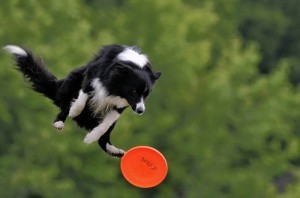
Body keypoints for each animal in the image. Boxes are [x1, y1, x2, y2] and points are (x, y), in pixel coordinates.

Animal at [2, 44, 162, 158]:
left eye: (146, 95)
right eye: (134, 91)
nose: (140, 111)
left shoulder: (120, 104)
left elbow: (104, 126)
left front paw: (90, 138)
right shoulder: (91, 76)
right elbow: (82, 97)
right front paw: (74, 111)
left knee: (105, 137)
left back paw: (114, 151)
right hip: (73, 79)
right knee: (65, 106)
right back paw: (59, 122)